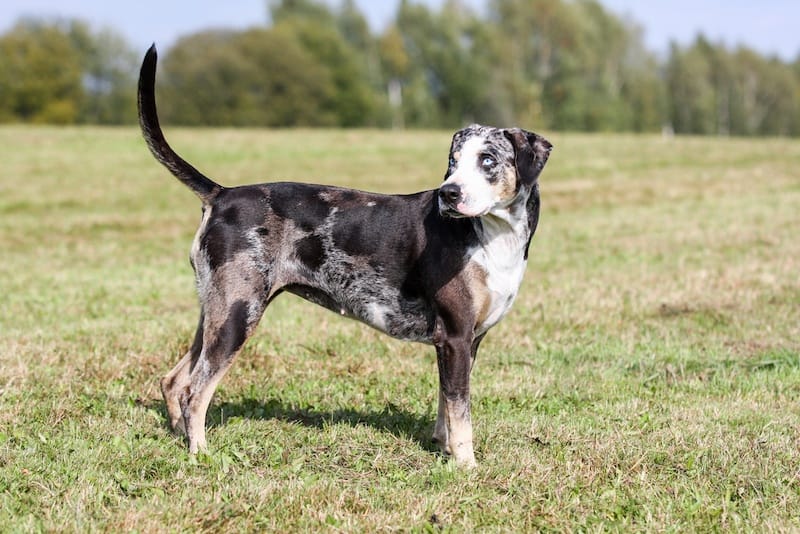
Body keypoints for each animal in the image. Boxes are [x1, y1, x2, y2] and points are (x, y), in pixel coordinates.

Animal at [138, 45, 552, 468]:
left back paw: (180, 438)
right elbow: (460, 410)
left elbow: (445, 405)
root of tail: (221, 194)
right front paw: (466, 465)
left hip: (215, 313)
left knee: (173, 381)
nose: (448, 193)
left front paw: (443, 447)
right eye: (453, 162)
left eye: (488, 160)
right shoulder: (454, 336)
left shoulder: (465, 341)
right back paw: (201, 453)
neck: (490, 236)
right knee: (195, 391)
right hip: (238, 316)